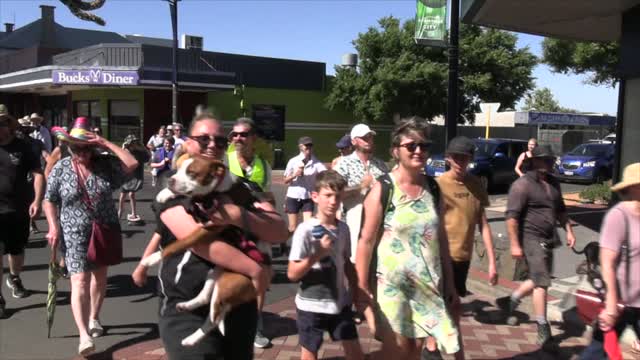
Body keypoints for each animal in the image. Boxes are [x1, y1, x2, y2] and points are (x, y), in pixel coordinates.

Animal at [142, 156, 264, 348]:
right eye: (178, 169)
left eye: (192, 173)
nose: (170, 180)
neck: (214, 192)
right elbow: (187, 195)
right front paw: (165, 193)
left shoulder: (212, 226)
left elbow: (182, 242)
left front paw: (153, 258)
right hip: (216, 273)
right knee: (206, 298)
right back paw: (186, 309)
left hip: (228, 283)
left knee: (214, 319)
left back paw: (191, 340)